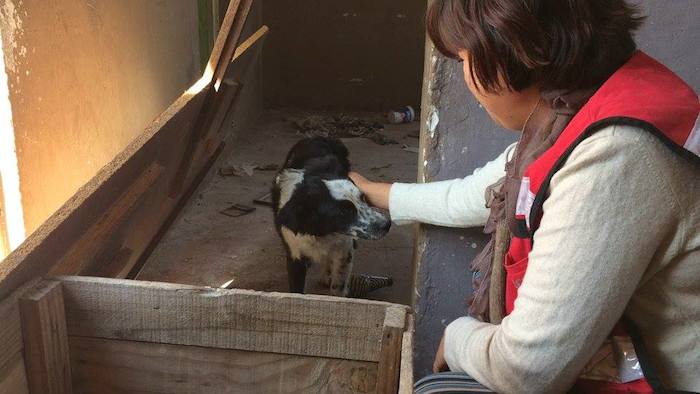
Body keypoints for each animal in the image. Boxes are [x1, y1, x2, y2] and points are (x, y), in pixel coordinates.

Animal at [272, 138, 392, 296]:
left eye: (363, 198)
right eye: (343, 212)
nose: (387, 224)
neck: (321, 233)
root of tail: (317, 137)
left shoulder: (344, 252)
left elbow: (338, 288)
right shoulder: (294, 254)